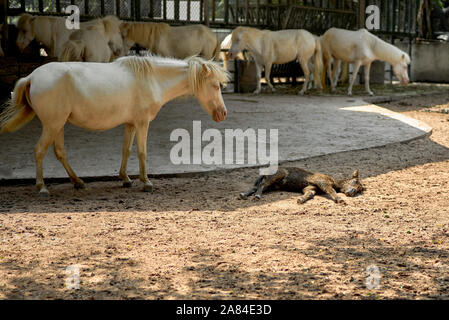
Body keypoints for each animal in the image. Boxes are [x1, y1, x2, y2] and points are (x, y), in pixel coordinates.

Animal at [0, 55, 229, 195]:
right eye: (215, 85)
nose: (223, 113)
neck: (152, 79)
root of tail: (31, 77)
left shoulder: (130, 124)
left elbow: (126, 150)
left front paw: (125, 179)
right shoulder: (142, 123)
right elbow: (142, 152)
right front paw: (146, 182)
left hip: (58, 125)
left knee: (59, 152)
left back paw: (78, 182)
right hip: (52, 125)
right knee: (39, 150)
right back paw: (42, 187)